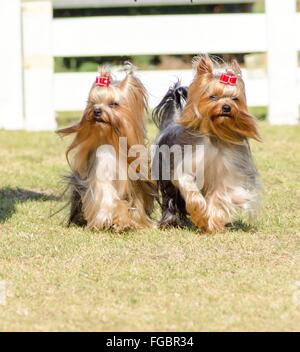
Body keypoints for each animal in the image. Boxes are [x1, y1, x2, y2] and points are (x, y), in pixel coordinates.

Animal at [57, 62, 155, 231]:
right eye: (92, 102)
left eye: (114, 104)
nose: (96, 111)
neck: (113, 141)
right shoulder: (102, 174)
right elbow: (110, 200)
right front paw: (119, 220)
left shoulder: (135, 182)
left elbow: (136, 203)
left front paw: (137, 222)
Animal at [152, 53, 260, 232]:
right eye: (213, 97)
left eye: (235, 98)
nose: (226, 107)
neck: (215, 134)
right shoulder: (185, 168)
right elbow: (191, 190)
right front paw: (201, 215)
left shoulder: (223, 175)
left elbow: (218, 198)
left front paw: (212, 224)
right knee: (170, 198)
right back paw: (170, 222)